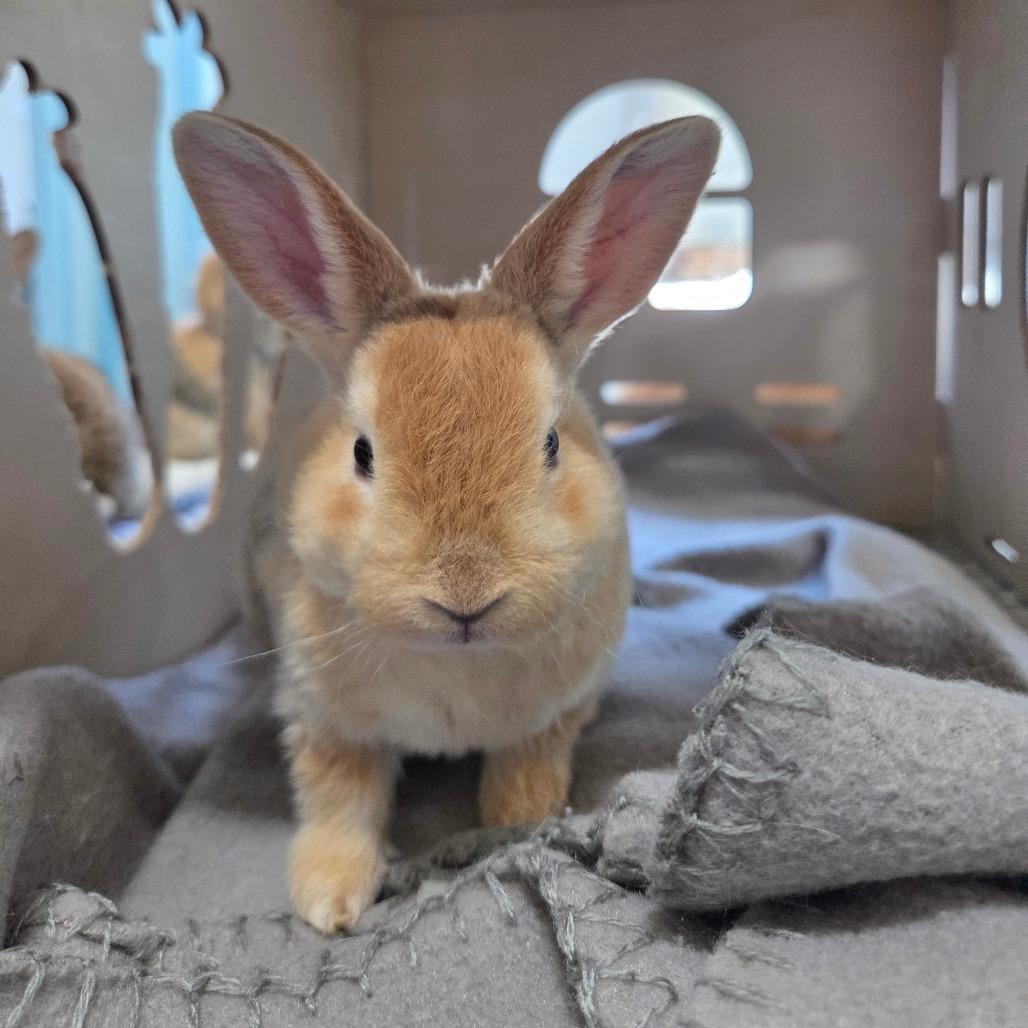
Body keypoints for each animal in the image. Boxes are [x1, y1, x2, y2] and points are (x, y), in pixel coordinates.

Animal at [173, 110, 719, 933]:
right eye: (362, 452)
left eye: (552, 443)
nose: (466, 595)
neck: (458, 660)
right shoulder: (322, 717)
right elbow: (339, 795)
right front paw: (330, 903)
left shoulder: (563, 707)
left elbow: (529, 761)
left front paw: (519, 819)